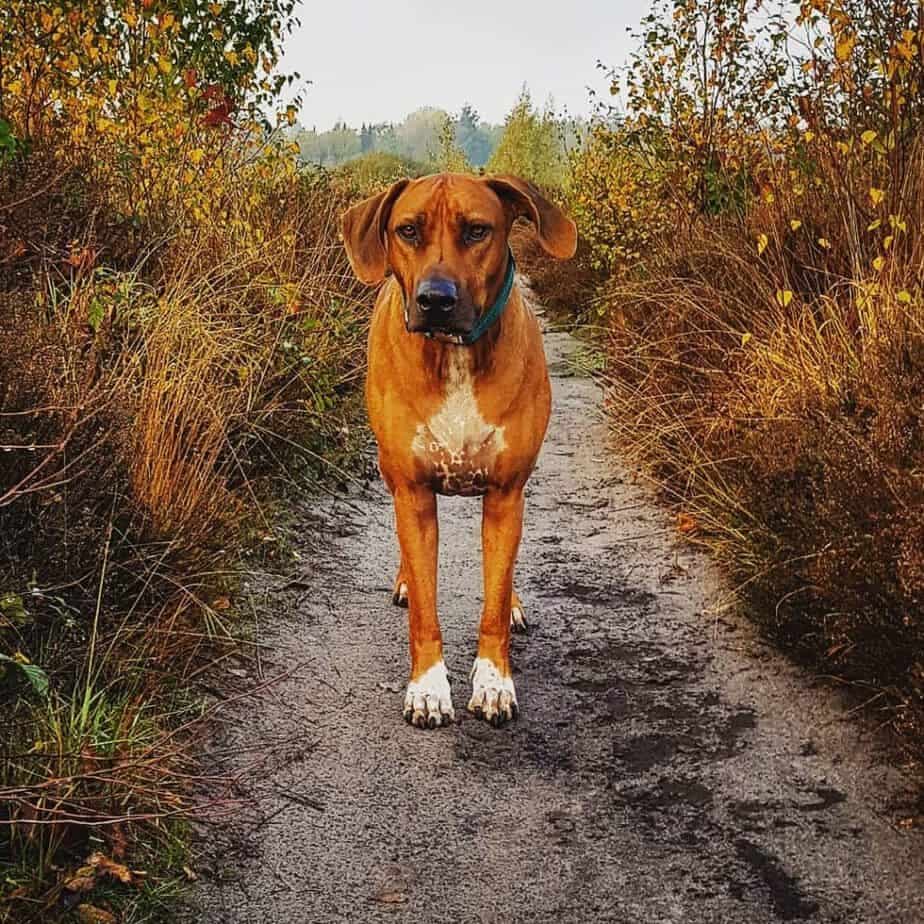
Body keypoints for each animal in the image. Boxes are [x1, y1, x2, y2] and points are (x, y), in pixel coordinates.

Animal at [342, 175, 572, 728]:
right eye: (407, 230)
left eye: (477, 230)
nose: (435, 299)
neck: (456, 354)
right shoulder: (413, 492)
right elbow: (426, 608)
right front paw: (428, 688)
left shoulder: (507, 494)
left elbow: (494, 600)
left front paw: (493, 682)